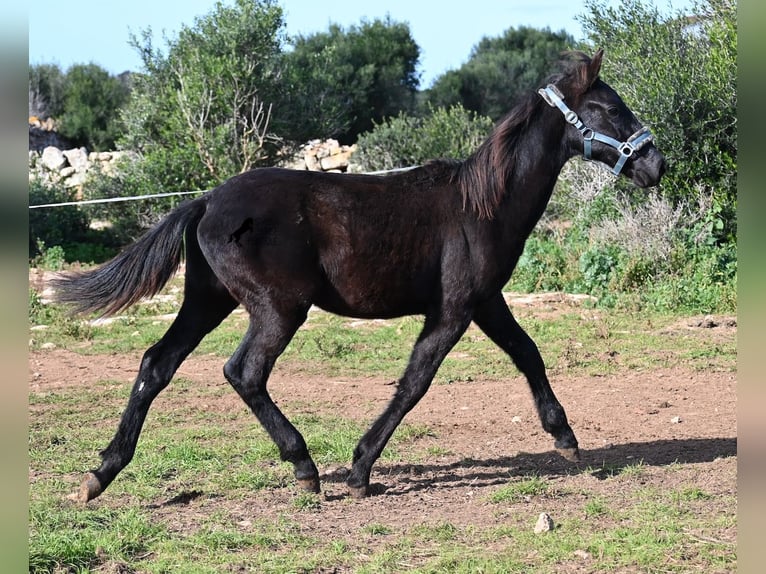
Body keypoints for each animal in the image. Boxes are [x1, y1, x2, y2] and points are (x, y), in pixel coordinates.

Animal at [54, 49, 664, 502]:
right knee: (243, 372)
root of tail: (206, 201)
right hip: (278, 308)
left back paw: (100, 474)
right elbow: (415, 381)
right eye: (611, 108)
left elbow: (527, 353)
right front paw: (360, 468)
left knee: (156, 364)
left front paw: (566, 438)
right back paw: (304, 466)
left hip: (209, 300)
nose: (656, 165)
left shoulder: (487, 301)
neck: (481, 205)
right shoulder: (454, 310)